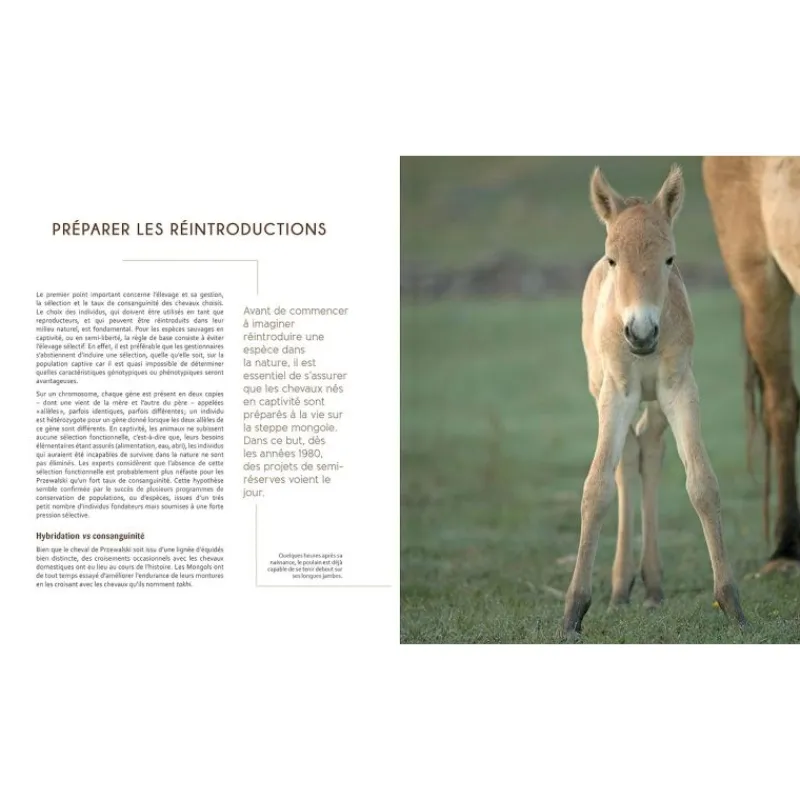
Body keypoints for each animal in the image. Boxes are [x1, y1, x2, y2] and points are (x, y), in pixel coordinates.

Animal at [562, 164, 747, 638]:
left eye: (669, 259)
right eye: (613, 260)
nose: (641, 333)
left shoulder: (680, 388)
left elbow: (702, 484)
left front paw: (732, 605)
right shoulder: (616, 391)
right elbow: (596, 487)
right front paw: (573, 612)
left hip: (658, 403)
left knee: (650, 447)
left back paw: (652, 586)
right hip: (604, 390)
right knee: (628, 457)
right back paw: (621, 588)